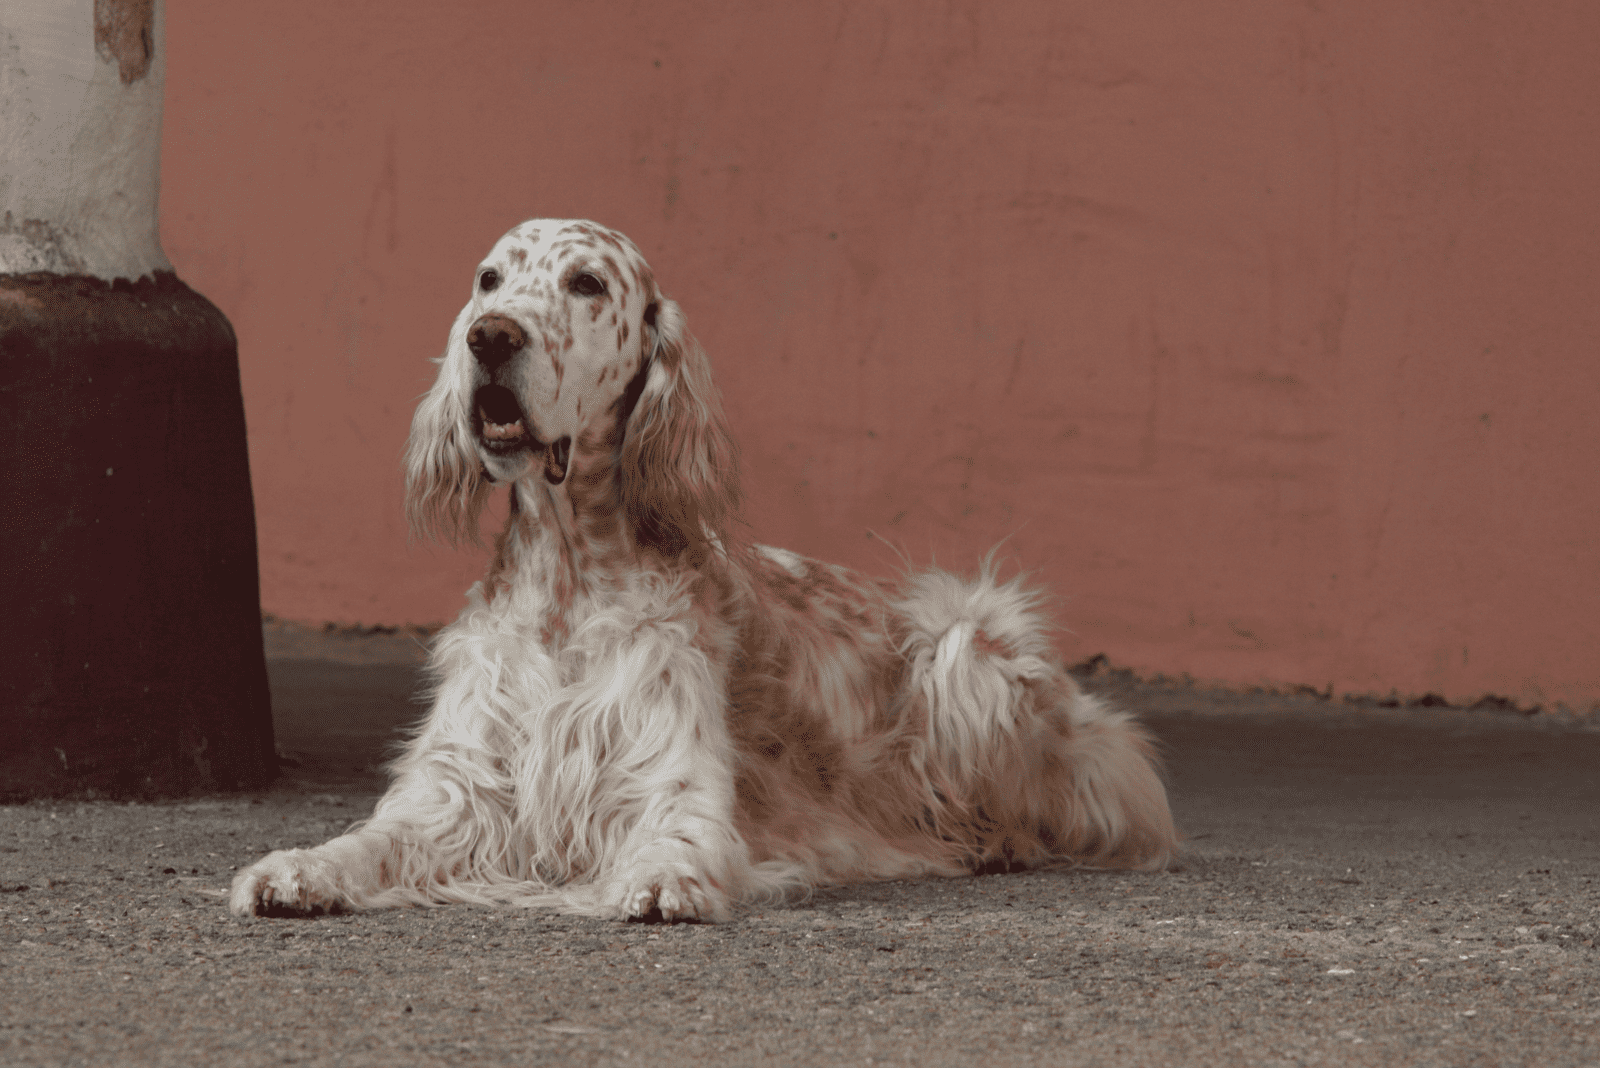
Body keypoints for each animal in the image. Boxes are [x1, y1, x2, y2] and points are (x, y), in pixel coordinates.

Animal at [232, 219, 1177, 927]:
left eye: (586, 284)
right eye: (489, 278)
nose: (489, 338)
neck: (569, 578)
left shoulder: (672, 787)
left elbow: (674, 842)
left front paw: (659, 882)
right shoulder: (457, 792)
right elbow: (369, 840)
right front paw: (296, 869)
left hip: (967, 652)